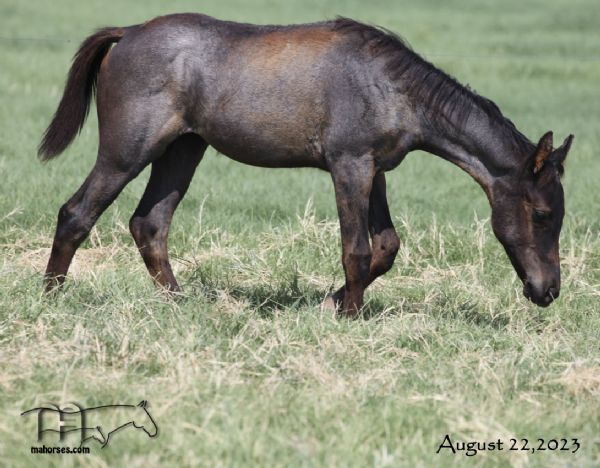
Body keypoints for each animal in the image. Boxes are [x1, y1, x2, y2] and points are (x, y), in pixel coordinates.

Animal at [39, 14, 576, 316]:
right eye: (543, 214)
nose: (548, 291)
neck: (393, 87)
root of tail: (128, 33)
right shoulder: (349, 165)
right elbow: (357, 249)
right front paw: (349, 316)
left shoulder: (376, 170)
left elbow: (386, 247)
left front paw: (332, 302)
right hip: (128, 151)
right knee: (77, 213)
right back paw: (50, 300)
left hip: (183, 150)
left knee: (149, 223)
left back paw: (179, 304)